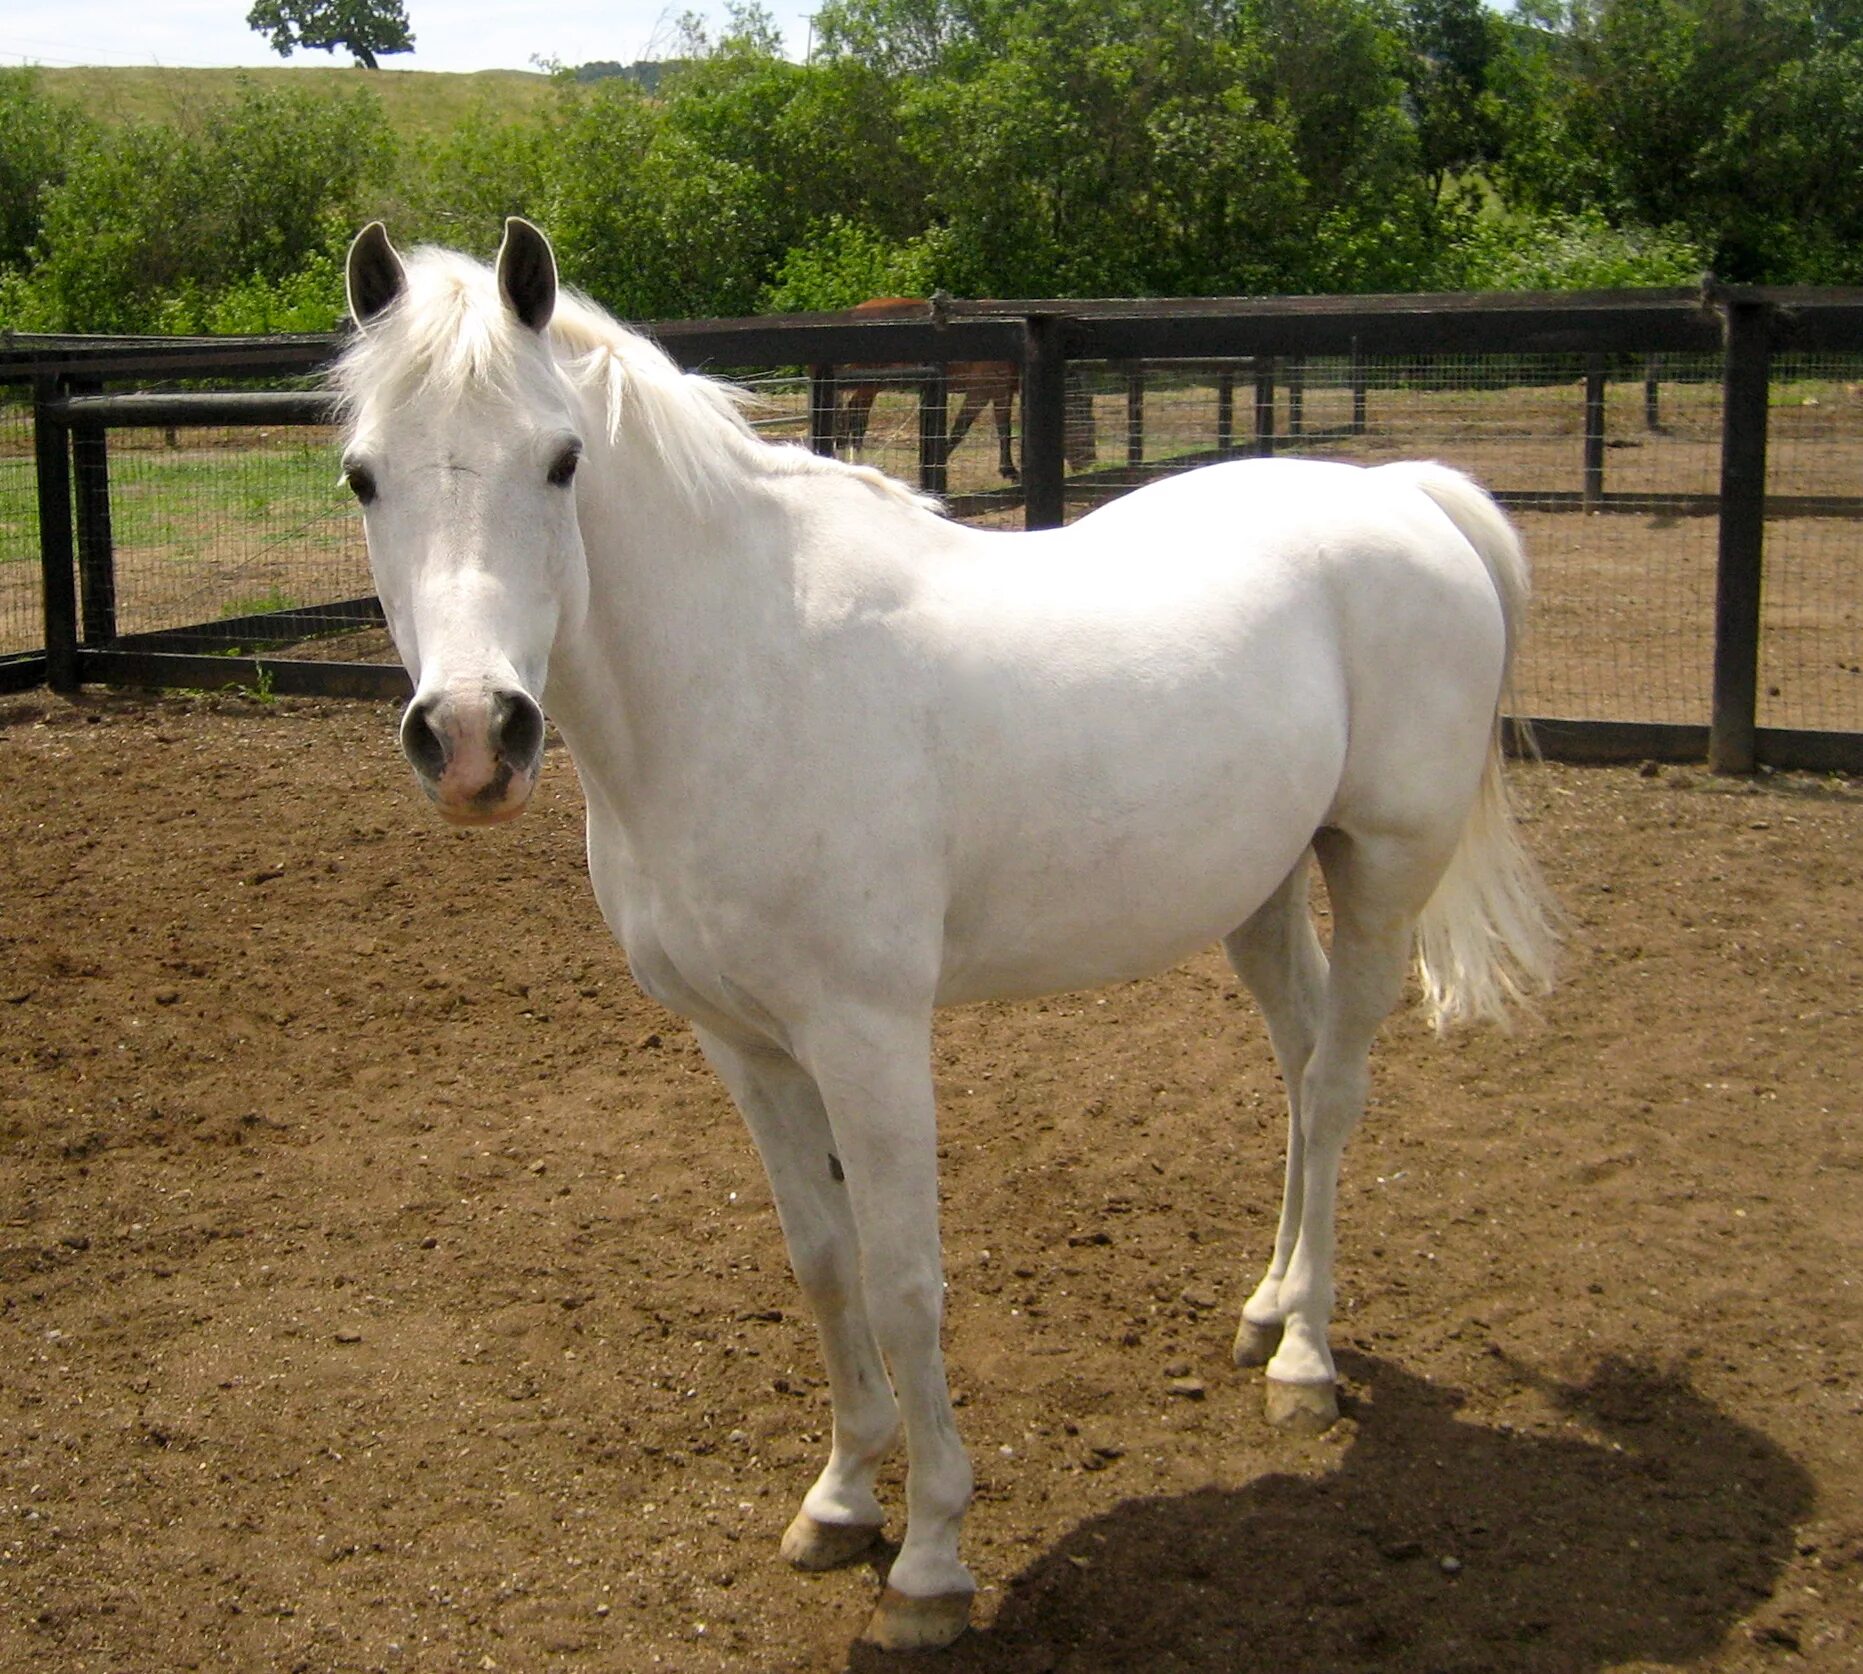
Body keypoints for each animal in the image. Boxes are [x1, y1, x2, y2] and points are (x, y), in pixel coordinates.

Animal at [335, 219, 1557, 1646]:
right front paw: (839, 1500)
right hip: (1258, 891)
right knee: (1302, 1074)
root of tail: (1409, 498)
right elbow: (822, 1263)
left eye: (562, 460)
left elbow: (905, 1279)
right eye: (363, 476)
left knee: (1343, 1084)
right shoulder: (741, 1043)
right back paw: (1266, 1309)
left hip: (1378, 870)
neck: (746, 673)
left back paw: (1305, 1357)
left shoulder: (867, 1038)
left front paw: (929, 1560)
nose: (475, 737)